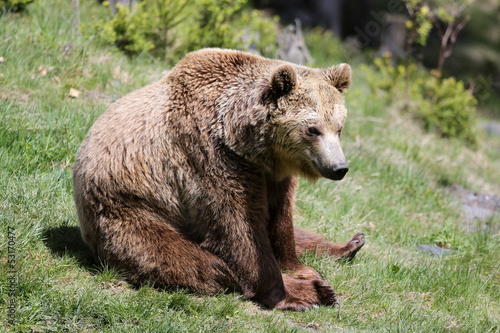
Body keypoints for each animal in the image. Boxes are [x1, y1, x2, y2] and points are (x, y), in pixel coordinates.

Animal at [73, 48, 364, 310]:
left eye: (339, 128)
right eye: (313, 129)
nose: (339, 167)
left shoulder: (272, 173)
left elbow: (281, 219)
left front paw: (300, 268)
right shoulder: (212, 157)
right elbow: (238, 230)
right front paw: (295, 292)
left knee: (302, 235)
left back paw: (349, 245)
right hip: (131, 213)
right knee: (194, 262)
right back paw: (317, 290)